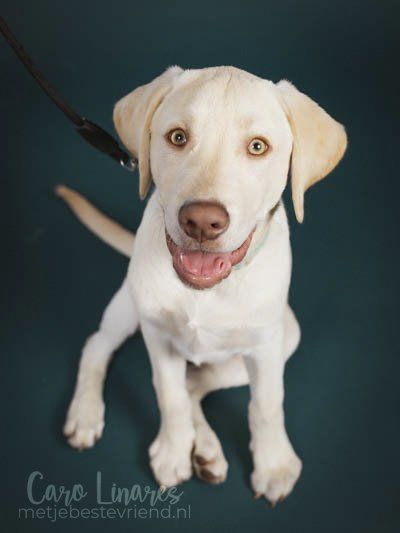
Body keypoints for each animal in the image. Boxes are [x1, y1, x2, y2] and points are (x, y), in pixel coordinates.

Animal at [57, 65, 347, 505]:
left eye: (258, 147)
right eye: (178, 137)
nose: (202, 222)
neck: (207, 293)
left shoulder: (266, 347)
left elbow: (265, 405)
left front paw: (274, 465)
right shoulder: (158, 337)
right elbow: (169, 394)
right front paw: (173, 451)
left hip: (284, 335)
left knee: (196, 383)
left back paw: (207, 450)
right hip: (130, 305)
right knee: (99, 346)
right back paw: (87, 413)